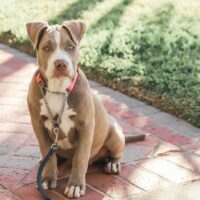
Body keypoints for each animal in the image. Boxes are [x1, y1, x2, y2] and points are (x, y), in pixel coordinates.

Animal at [25, 20, 143, 198]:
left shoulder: (86, 126)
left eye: (70, 46)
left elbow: (80, 158)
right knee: (53, 155)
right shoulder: (38, 124)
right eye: (46, 47)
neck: (58, 89)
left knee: (115, 152)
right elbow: (47, 151)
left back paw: (113, 163)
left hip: (115, 133)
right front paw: (46, 178)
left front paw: (75, 186)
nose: (61, 63)